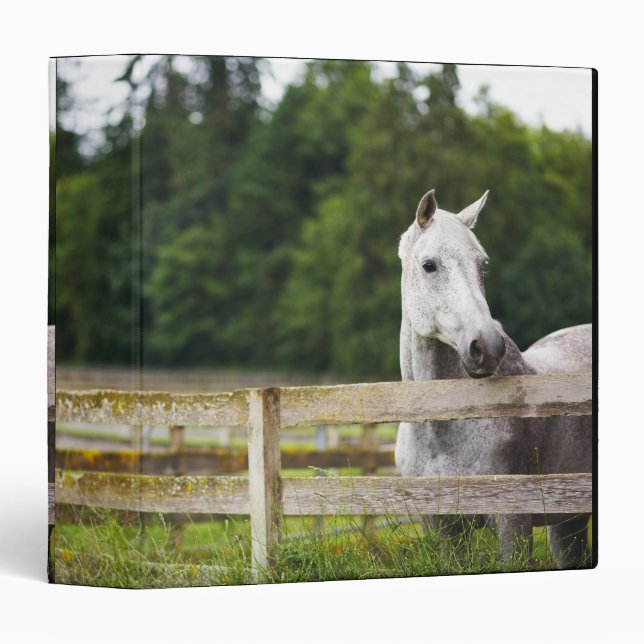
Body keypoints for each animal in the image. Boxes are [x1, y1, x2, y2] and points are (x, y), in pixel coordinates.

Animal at [395, 188, 592, 569]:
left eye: (482, 264)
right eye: (429, 265)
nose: (487, 346)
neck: (440, 429)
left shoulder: (512, 521)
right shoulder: (442, 528)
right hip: (568, 523)